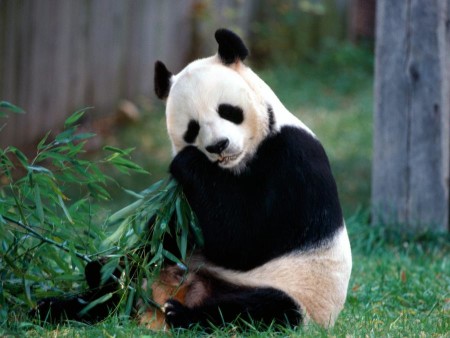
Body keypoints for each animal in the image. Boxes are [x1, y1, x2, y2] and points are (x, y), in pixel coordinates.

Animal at [31, 29, 352, 330]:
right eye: (192, 128)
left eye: (227, 110)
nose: (218, 146)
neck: (236, 164)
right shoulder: (186, 204)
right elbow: (169, 231)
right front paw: (106, 267)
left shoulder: (292, 161)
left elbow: (243, 240)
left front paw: (187, 162)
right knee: (119, 289)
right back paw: (69, 297)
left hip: (300, 296)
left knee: (259, 309)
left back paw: (182, 315)